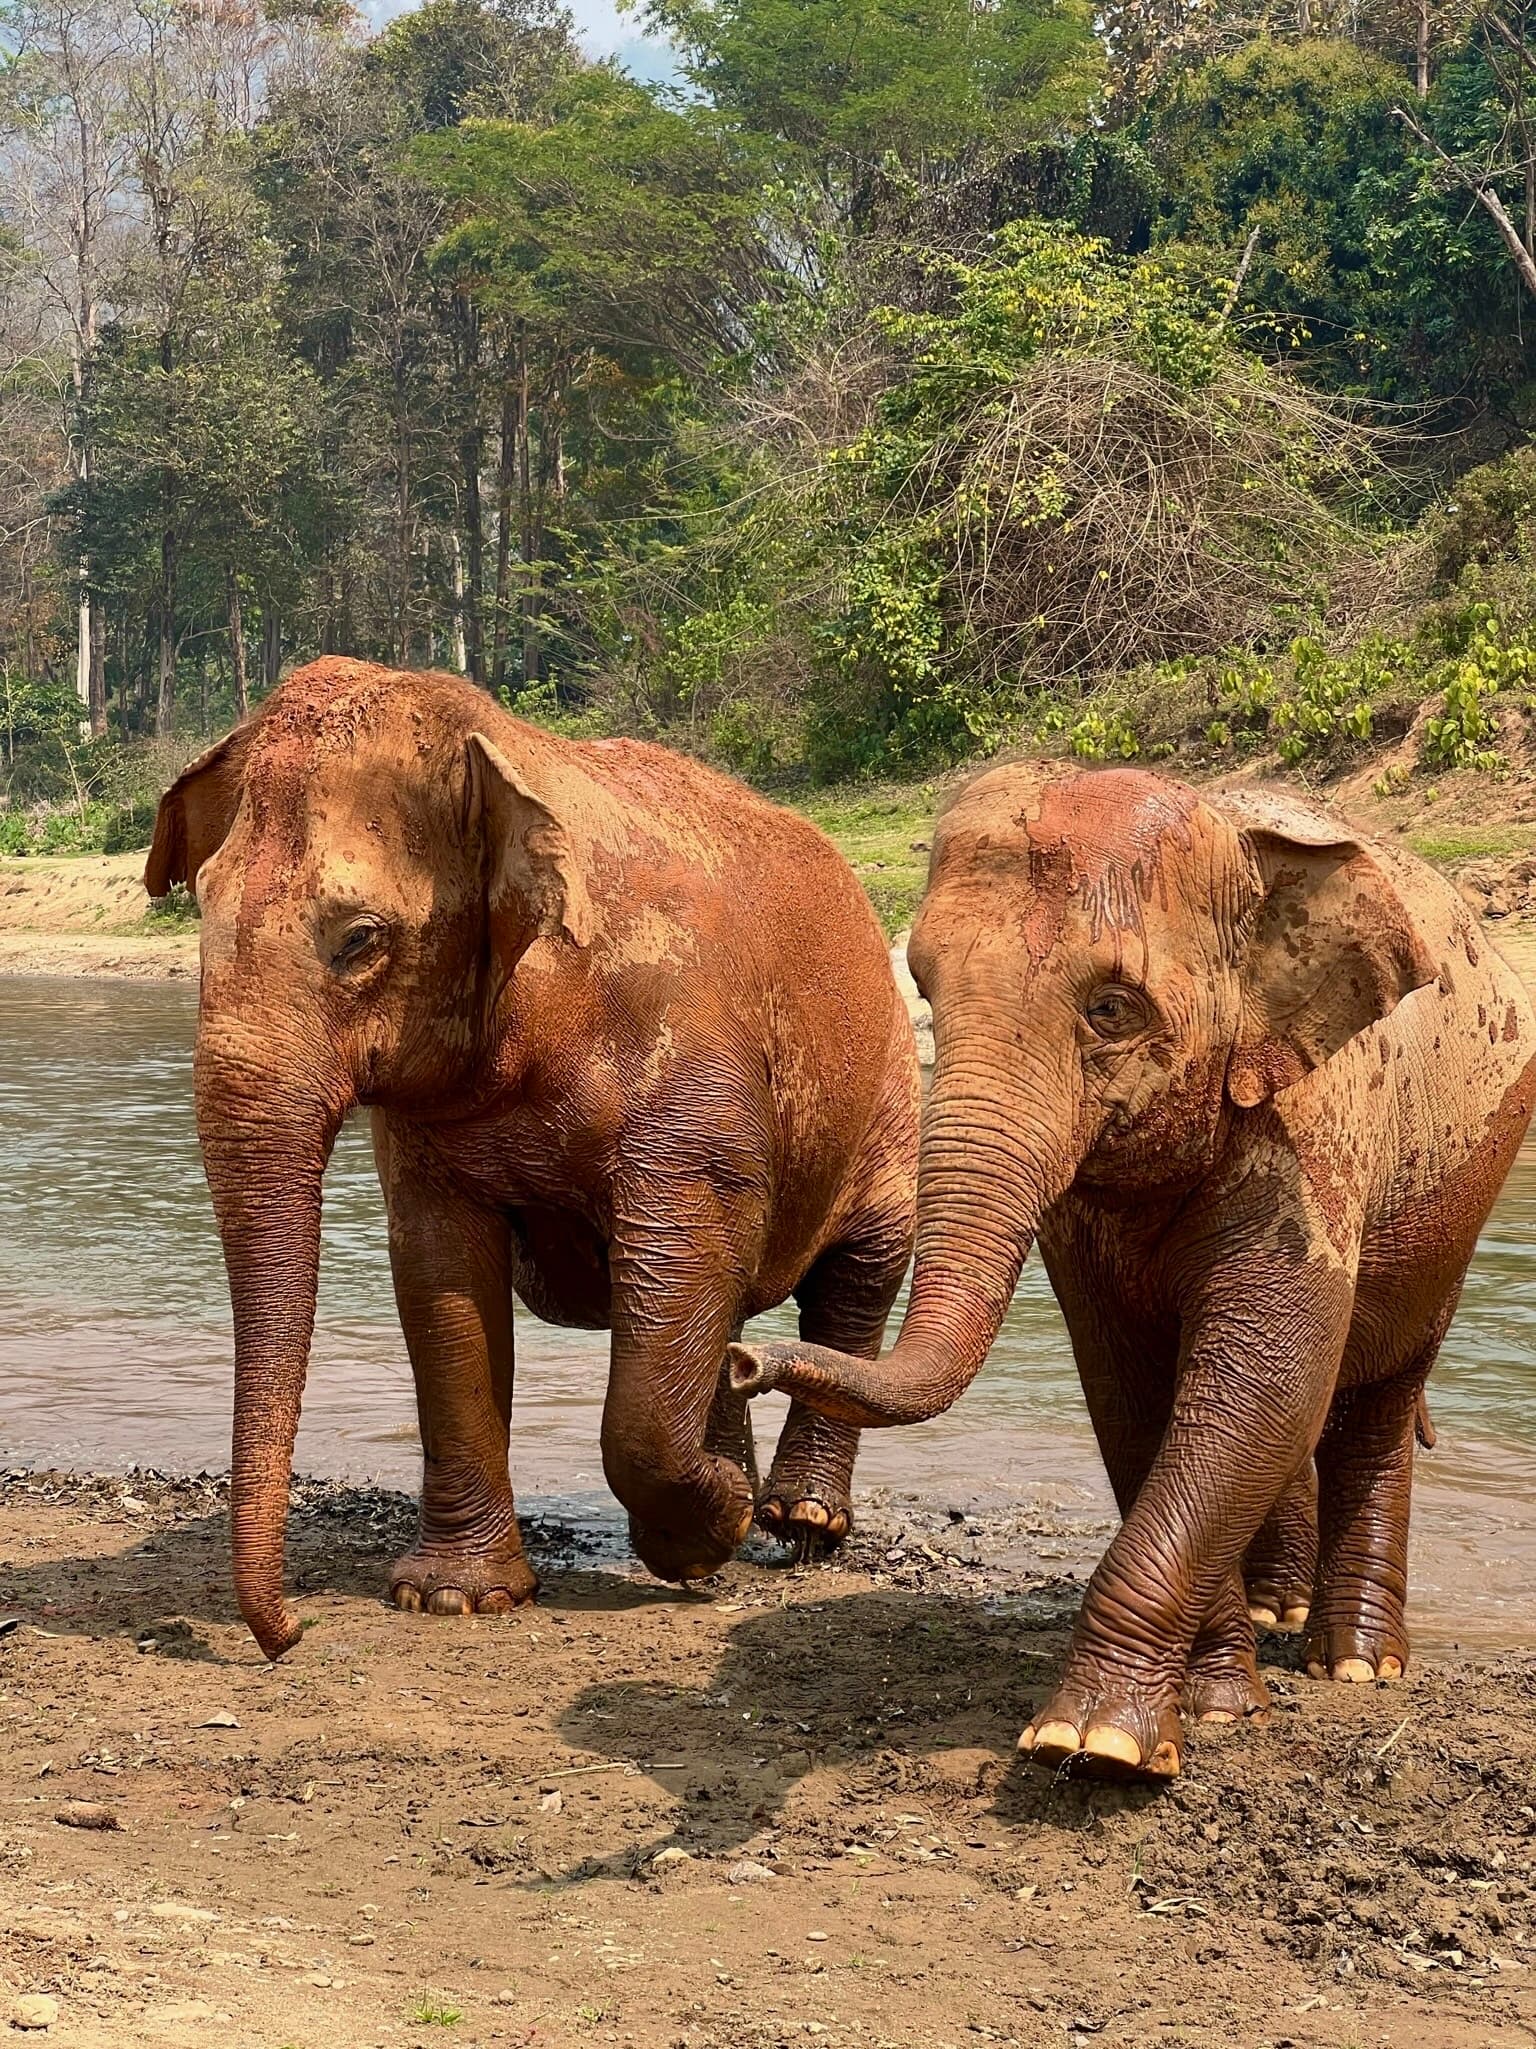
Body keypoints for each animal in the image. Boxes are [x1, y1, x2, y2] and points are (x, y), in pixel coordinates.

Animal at [144, 656, 919, 1661]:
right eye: (199, 910)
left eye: (359, 939)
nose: (289, 1634)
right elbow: (442, 1281)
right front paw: (454, 1597)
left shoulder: (688, 1081)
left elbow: (683, 1259)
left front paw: (705, 1531)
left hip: (887, 1086)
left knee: (860, 1273)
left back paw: (799, 1520)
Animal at [730, 764, 1536, 1780]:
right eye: (924, 985)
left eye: (1111, 1007)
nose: (744, 1360)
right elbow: (1136, 1395)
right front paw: (1216, 1706)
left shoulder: (1314, 1126)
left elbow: (1259, 1386)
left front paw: (1097, 1743)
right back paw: (1280, 1613)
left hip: (1461, 1188)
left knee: (1378, 1397)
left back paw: (1355, 1665)